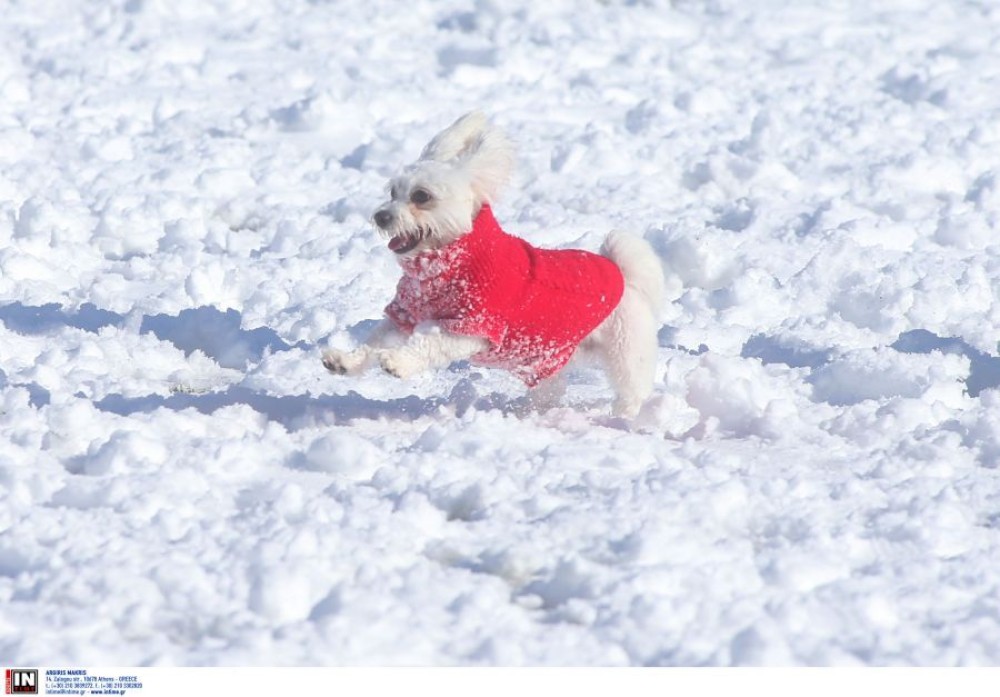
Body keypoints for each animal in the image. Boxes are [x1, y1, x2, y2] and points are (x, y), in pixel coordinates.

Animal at [320, 111, 664, 416]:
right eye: (393, 192)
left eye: (421, 196)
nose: (381, 216)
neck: (449, 264)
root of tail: (623, 274)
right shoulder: (406, 312)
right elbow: (373, 341)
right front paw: (346, 361)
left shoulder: (472, 326)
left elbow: (429, 345)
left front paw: (398, 362)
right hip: (545, 361)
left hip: (627, 350)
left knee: (633, 388)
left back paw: (623, 416)